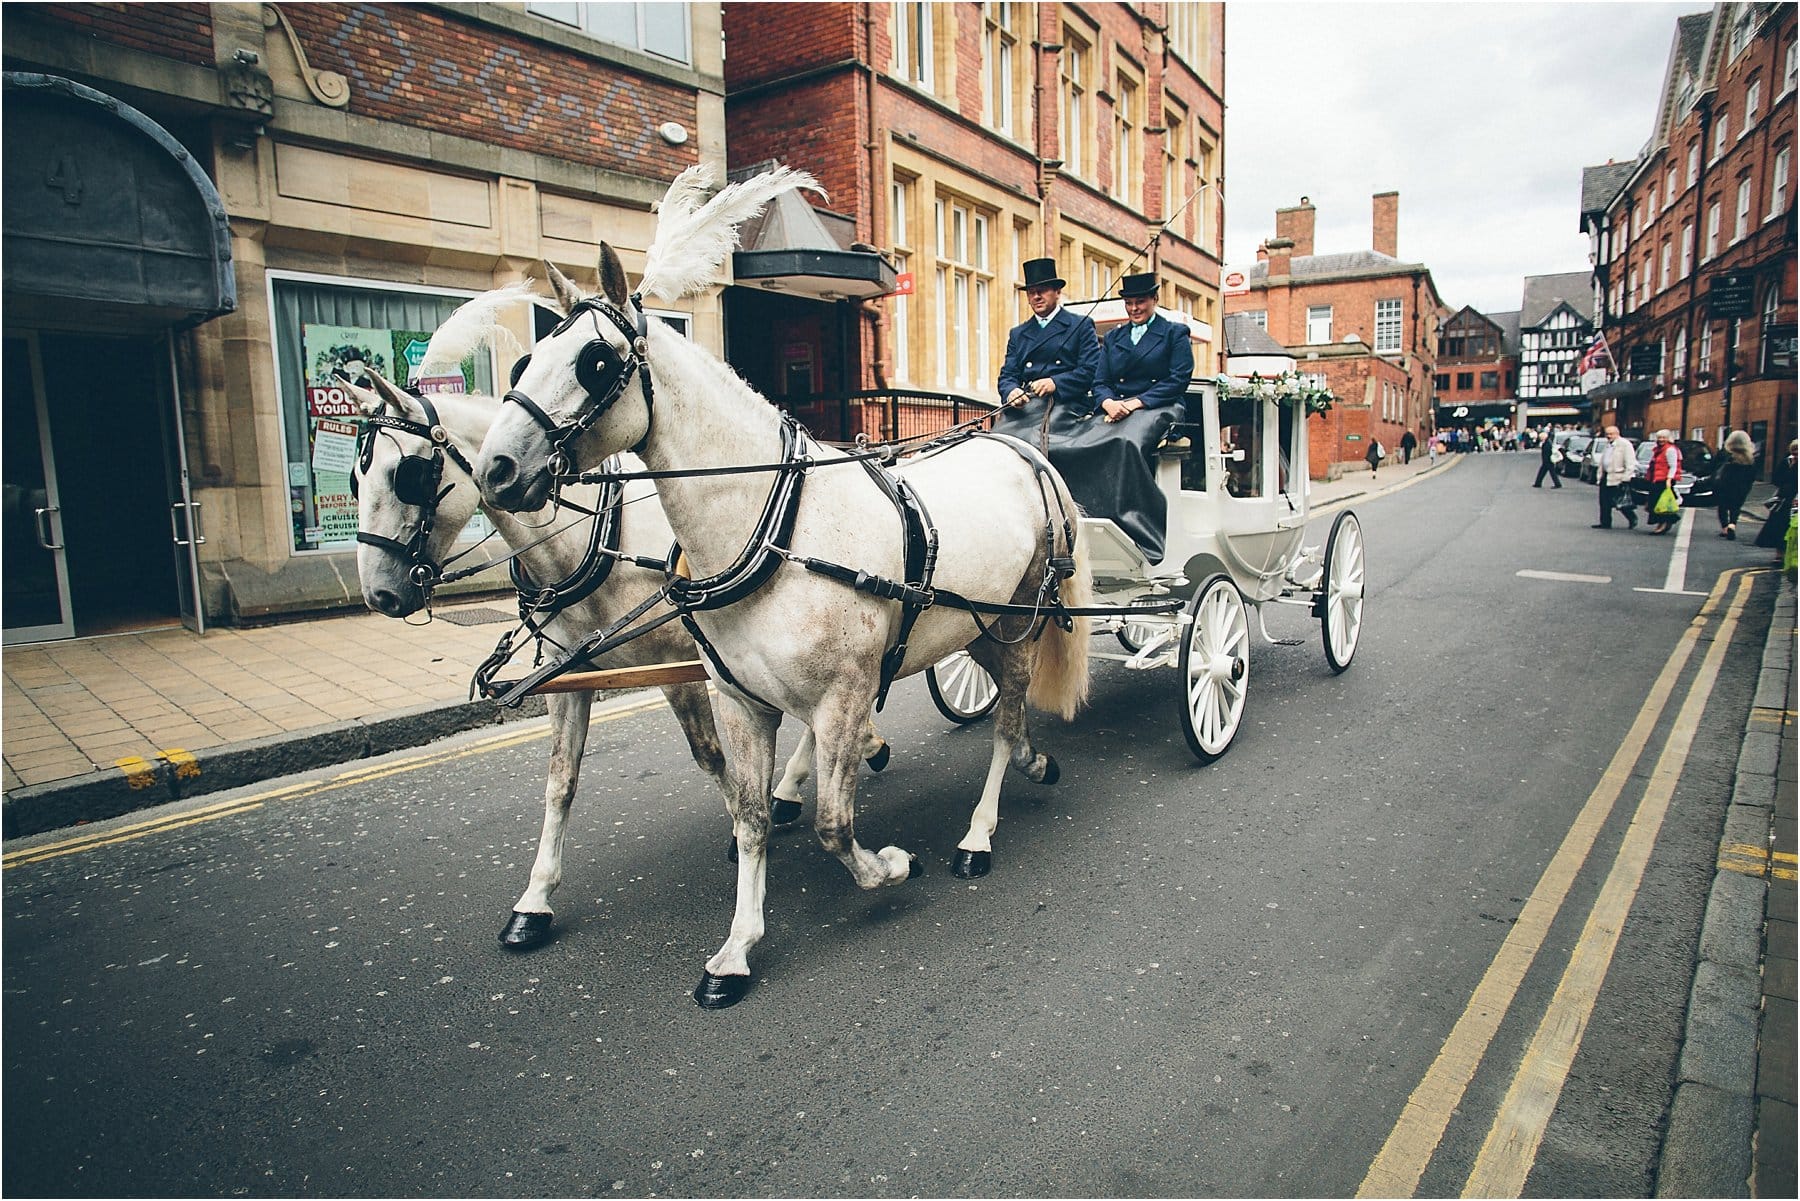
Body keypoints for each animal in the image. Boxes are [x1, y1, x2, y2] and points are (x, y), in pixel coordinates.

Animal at [343, 370, 885, 950]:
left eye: (408, 475)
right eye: (355, 480)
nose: (380, 595)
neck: (596, 539)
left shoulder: (678, 666)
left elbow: (709, 755)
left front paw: (737, 827)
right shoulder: (571, 671)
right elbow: (560, 781)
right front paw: (534, 899)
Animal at [464, 166, 1087, 1015]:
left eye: (593, 362)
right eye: (525, 361)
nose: (494, 469)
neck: (776, 528)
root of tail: (1023, 450)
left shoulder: (847, 692)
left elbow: (832, 822)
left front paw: (891, 866)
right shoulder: (739, 697)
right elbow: (752, 814)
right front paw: (737, 948)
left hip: (1019, 619)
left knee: (1006, 718)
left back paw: (979, 830)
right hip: (974, 628)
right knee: (1007, 711)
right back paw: (1034, 762)